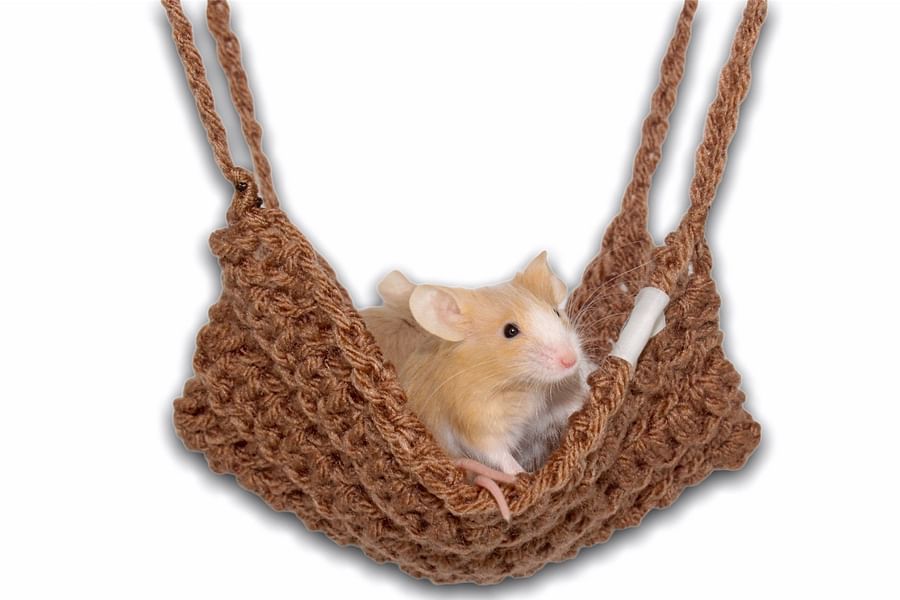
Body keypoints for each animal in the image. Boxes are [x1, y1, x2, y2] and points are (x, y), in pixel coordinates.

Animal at [398, 252, 594, 477]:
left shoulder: (558, 399)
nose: (571, 360)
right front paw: (521, 476)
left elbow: (572, 405)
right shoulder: (477, 420)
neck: (523, 386)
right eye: (510, 331)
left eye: (556, 312)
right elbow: (498, 454)